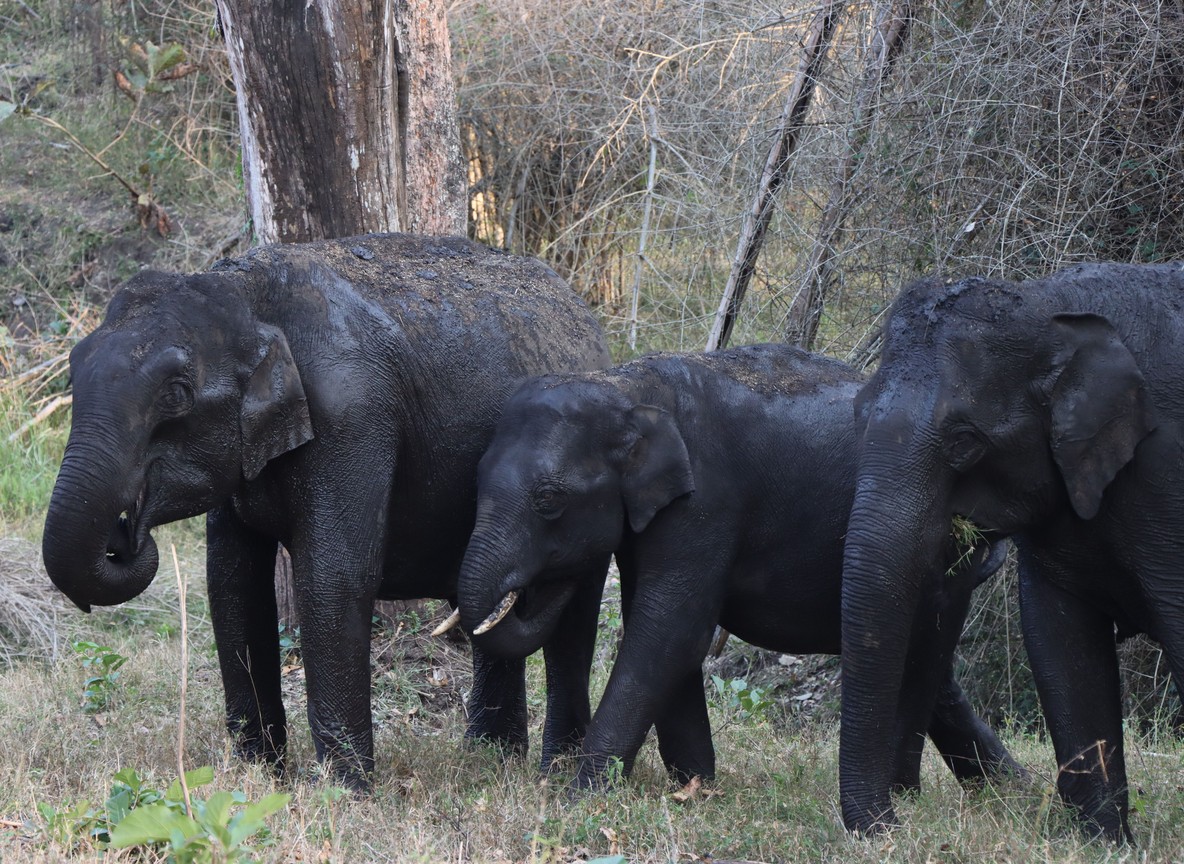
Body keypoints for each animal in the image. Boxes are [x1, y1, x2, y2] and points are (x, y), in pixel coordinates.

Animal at [42, 233, 612, 788]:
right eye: (73, 367)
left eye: (177, 395)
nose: (124, 535)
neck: (248, 290)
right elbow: (232, 583)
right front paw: (257, 776)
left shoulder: (352, 417)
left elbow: (334, 577)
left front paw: (343, 791)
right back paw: (490, 761)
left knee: (575, 608)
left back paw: (551, 771)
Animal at [456, 343, 1020, 792]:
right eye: (475, 477)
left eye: (549, 500)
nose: (553, 580)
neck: (628, 384)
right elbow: (663, 629)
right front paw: (695, 787)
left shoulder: (708, 503)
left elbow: (670, 631)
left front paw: (580, 797)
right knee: (929, 667)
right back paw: (1009, 791)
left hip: (945, 548)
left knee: (925, 652)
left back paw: (913, 793)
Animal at [839, 263, 1184, 842]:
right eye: (858, 416)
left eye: (963, 442)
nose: (893, 823)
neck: (1050, 306)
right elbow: (1058, 636)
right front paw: (1105, 845)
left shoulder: (1167, 471)